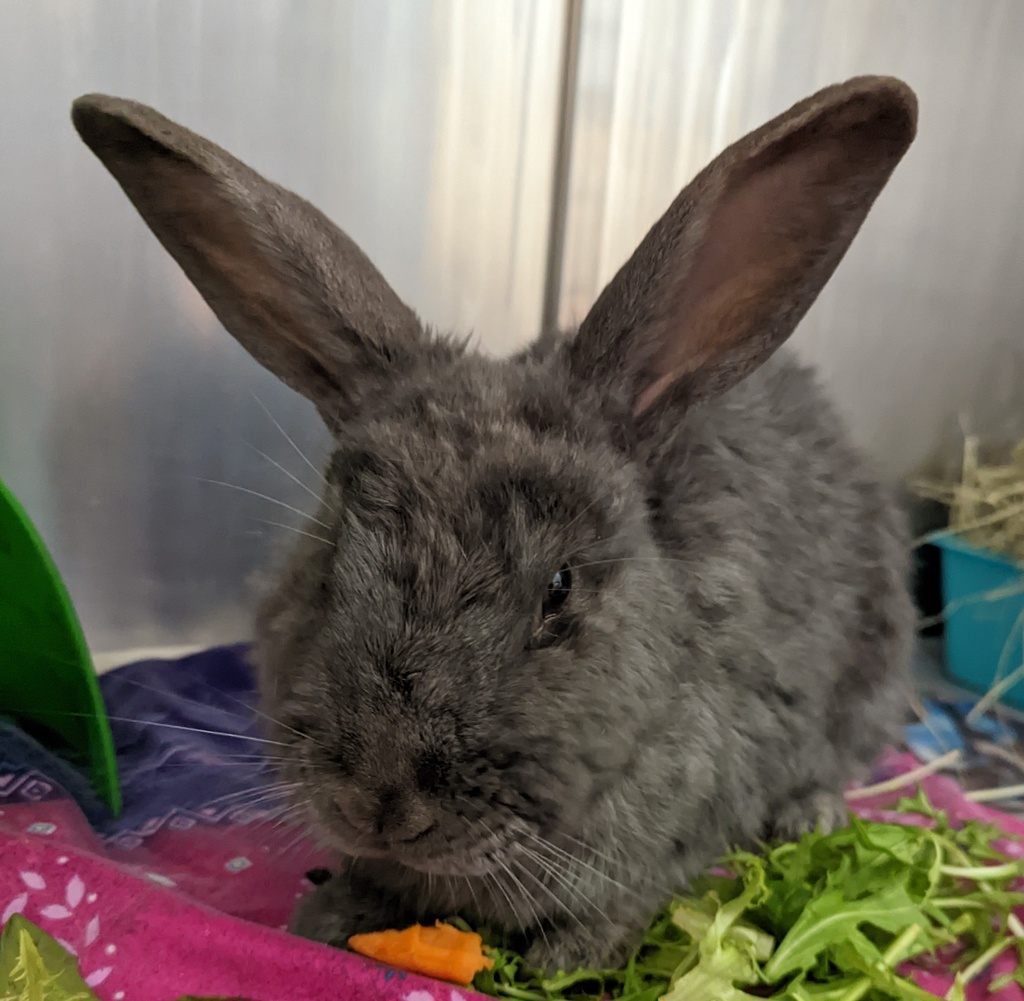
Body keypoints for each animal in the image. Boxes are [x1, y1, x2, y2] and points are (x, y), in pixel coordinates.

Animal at [71, 75, 918, 974]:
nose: (382, 802)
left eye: (560, 588)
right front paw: (325, 914)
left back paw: (810, 813)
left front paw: (563, 958)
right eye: (329, 559)